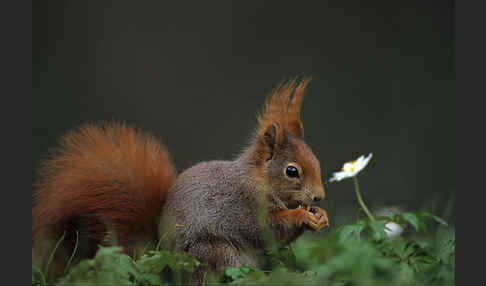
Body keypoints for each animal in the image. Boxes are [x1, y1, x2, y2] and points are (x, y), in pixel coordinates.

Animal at [31, 77, 330, 282]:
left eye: (316, 161)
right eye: (292, 171)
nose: (319, 196)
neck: (258, 179)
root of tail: (165, 263)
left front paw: (321, 216)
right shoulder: (242, 206)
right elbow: (264, 229)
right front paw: (302, 215)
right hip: (214, 253)